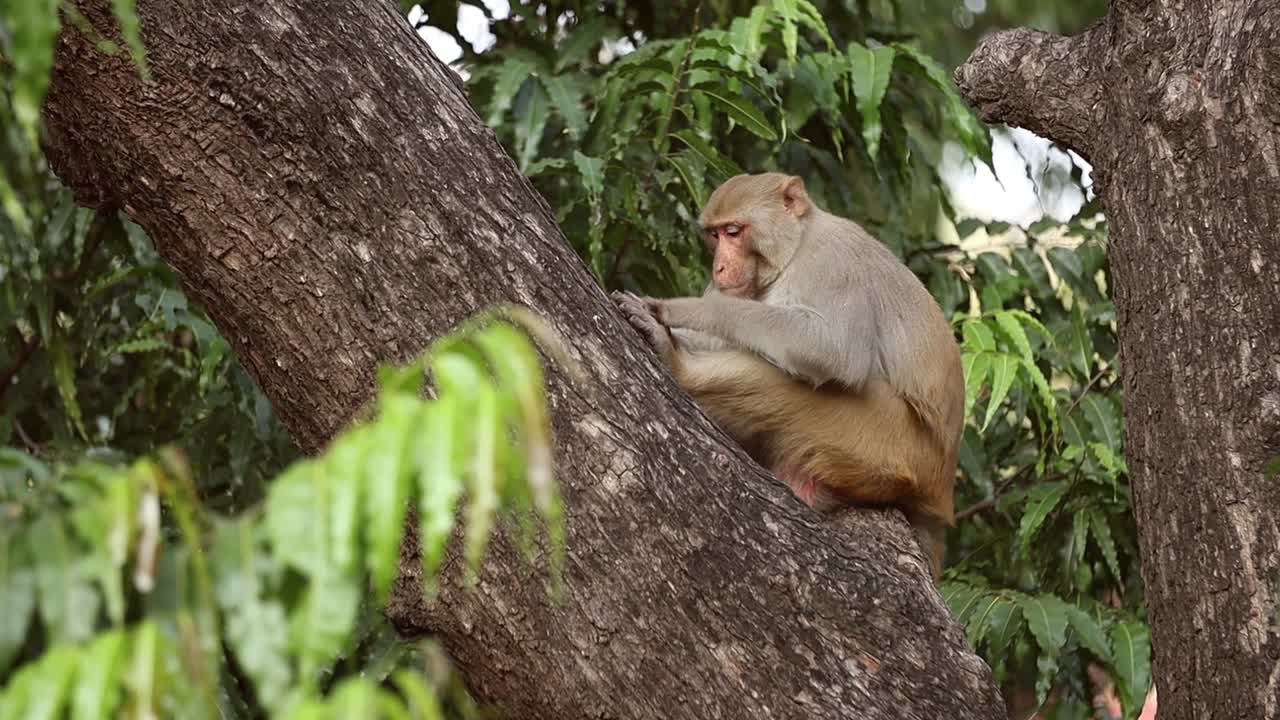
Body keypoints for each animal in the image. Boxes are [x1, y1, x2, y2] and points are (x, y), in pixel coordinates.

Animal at [612, 172, 964, 579]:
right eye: (714, 235)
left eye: (734, 231)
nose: (718, 268)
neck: (795, 249)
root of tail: (941, 493)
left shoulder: (830, 262)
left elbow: (836, 350)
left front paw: (691, 309)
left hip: (889, 442)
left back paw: (678, 366)